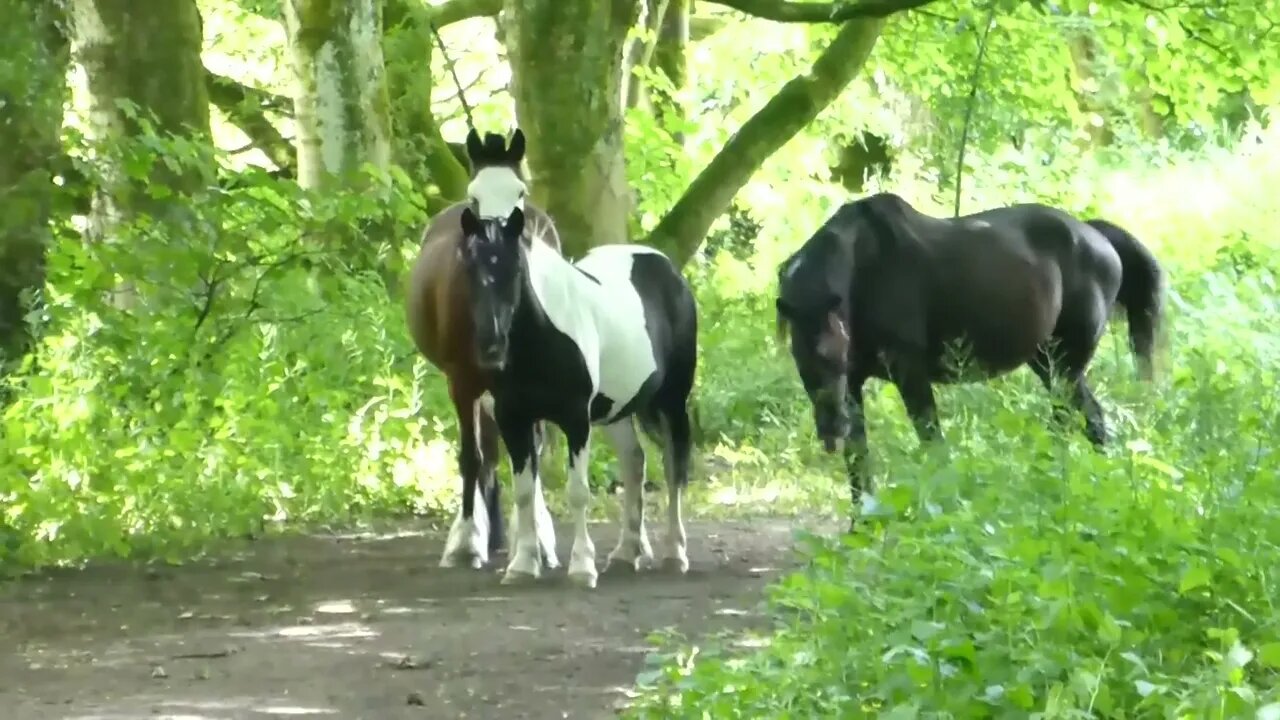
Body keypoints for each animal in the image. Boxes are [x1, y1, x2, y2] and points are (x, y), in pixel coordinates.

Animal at [405, 128, 562, 570]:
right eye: (474, 197)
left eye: (520, 192)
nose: (497, 250)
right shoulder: (461, 382)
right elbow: (471, 457)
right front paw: (465, 541)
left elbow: (530, 454)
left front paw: (538, 537)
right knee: (487, 454)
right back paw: (487, 534)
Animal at [455, 205, 698, 589]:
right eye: (469, 266)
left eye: (515, 269)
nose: (491, 346)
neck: (544, 336)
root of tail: (668, 270)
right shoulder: (513, 420)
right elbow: (524, 493)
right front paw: (523, 565)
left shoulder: (576, 420)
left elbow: (578, 492)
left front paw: (582, 568)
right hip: (616, 411)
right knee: (634, 462)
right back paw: (626, 553)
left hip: (672, 401)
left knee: (675, 466)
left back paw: (675, 553)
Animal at [774, 192, 1165, 523]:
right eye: (802, 362)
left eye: (833, 355)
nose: (831, 430)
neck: (864, 273)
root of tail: (1096, 235)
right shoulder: (854, 384)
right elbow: (858, 457)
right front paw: (862, 523)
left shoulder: (908, 373)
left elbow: (931, 441)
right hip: (1048, 363)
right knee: (1081, 418)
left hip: (1065, 365)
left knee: (1078, 418)